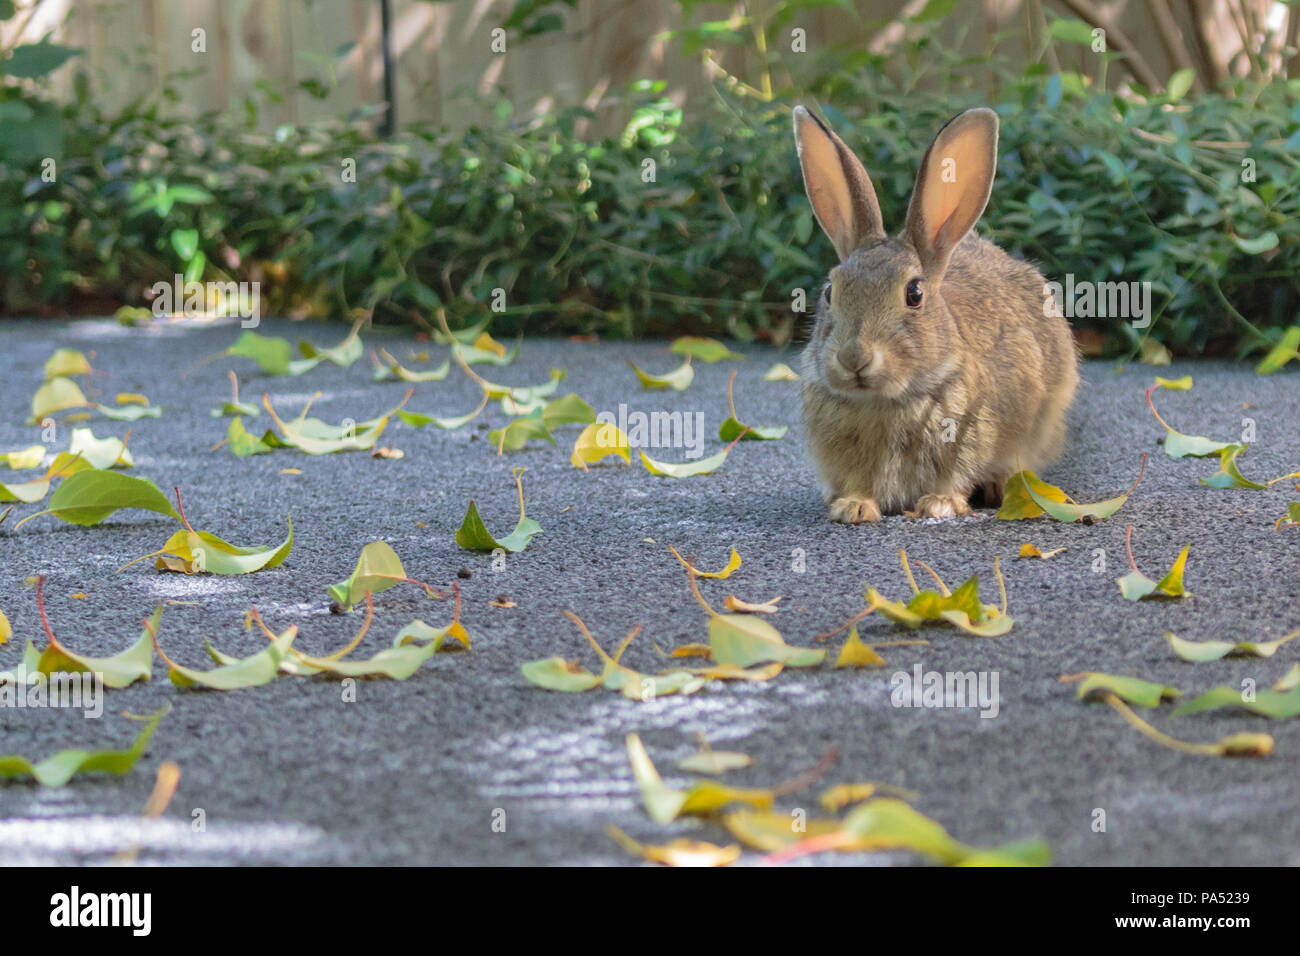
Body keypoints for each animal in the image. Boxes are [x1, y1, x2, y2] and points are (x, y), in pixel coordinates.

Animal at [792, 105, 1078, 523]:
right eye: (831, 291)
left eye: (914, 293)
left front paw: (939, 503)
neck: (887, 400)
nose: (854, 358)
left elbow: (954, 474)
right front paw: (853, 507)